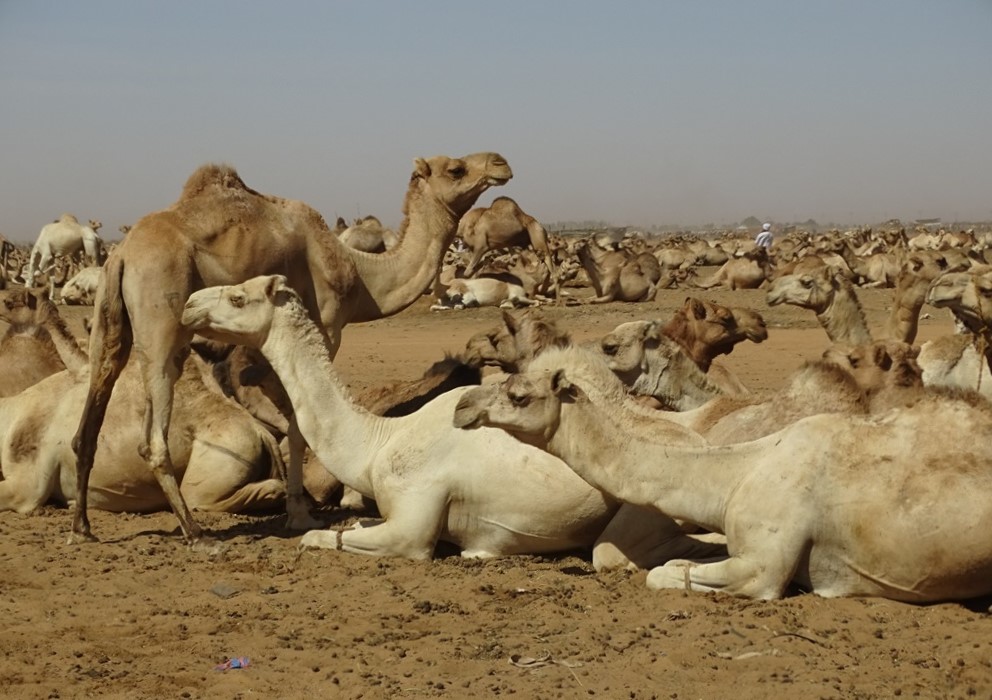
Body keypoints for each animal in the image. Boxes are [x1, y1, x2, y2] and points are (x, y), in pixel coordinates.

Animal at [70, 149, 512, 540]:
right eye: (455, 169)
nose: (500, 162)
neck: (359, 275)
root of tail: (122, 255)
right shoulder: (326, 327)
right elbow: (301, 422)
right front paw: (303, 512)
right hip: (162, 316)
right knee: (153, 436)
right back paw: (196, 534)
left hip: (108, 321)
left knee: (89, 416)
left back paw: (82, 528)